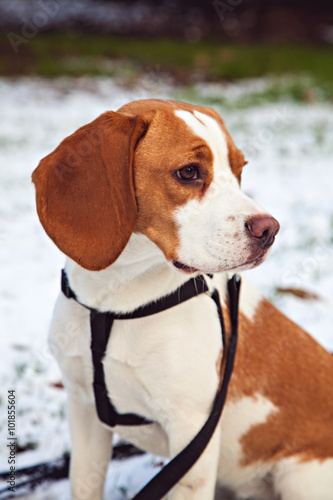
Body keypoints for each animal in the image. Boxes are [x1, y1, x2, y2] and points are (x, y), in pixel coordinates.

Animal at [31, 99, 332, 498]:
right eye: (189, 172)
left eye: (239, 169)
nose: (270, 230)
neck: (115, 301)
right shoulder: (84, 412)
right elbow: (84, 485)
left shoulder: (191, 436)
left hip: (298, 477)